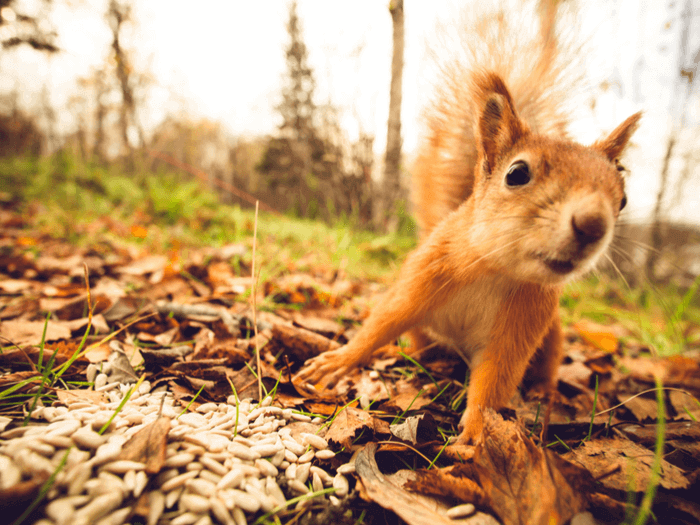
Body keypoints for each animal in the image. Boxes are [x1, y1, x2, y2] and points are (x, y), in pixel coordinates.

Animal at [294, 0, 640, 442]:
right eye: (517, 174)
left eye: (623, 199)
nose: (593, 225)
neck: (494, 270)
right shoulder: (423, 277)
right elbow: (381, 323)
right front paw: (337, 361)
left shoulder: (522, 323)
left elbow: (494, 380)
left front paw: (478, 433)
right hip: (425, 327)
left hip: (552, 333)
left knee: (548, 361)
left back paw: (544, 390)